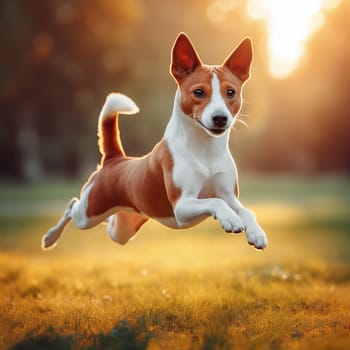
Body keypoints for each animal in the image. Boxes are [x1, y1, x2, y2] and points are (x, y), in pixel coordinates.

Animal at [43, 32, 268, 250]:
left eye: (231, 92)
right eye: (199, 92)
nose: (220, 118)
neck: (204, 149)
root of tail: (114, 159)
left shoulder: (230, 196)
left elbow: (246, 211)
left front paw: (256, 233)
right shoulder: (182, 206)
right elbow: (215, 202)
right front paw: (230, 218)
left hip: (123, 227)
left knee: (109, 223)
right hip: (89, 212)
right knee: (72, 206)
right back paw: (50, 237)